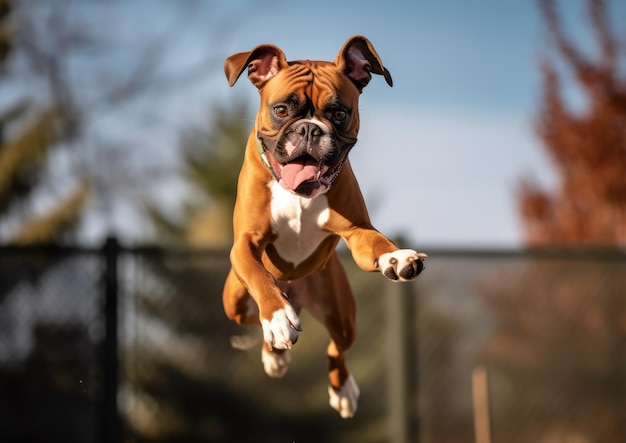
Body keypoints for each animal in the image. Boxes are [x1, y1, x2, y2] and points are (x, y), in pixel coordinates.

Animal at [219, 35, 424, 420]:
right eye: (282, 110)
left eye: (339, 114)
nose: (310, 129)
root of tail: (297, 292)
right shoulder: (245, 244)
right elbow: (259, 275)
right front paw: (277, 316)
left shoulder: (357, 232)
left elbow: (377, 242)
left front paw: (396, 257)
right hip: (235, 302)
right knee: (258, 320)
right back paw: (276, 348)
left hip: (343, 318)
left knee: (336, 348)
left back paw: (341, 389)